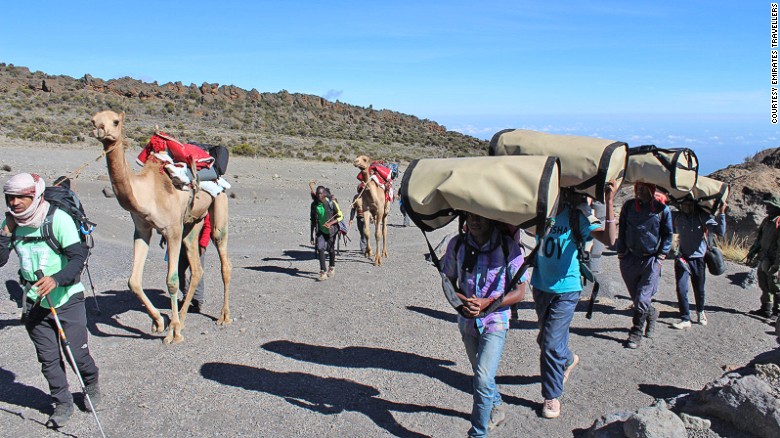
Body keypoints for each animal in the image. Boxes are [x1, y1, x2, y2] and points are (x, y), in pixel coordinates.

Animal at [92, 109, 232, 342]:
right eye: (93, 121)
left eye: (116, 121)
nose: (101, 130)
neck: (147, 192)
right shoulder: (142, 229)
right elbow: (134, 281)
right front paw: (161, 322)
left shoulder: (172, 230)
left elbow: (172, 280)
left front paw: (173, 333)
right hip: (193, 221)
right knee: (196, 267)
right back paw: (182, 319)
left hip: (219, 205)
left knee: (223, 259)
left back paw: (223, 317)